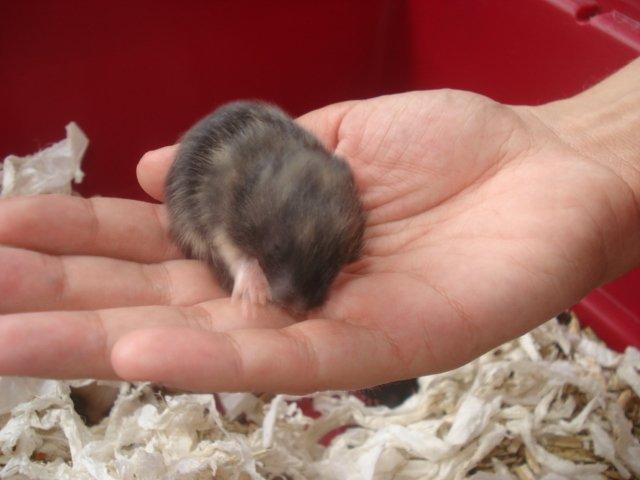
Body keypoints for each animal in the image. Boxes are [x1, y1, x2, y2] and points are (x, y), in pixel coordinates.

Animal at [165, 101, 365, 316]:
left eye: (338, 259)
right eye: (274, 248)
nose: (299, 309)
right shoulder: (217, 217)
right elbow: (237, 254)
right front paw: (255, 294)